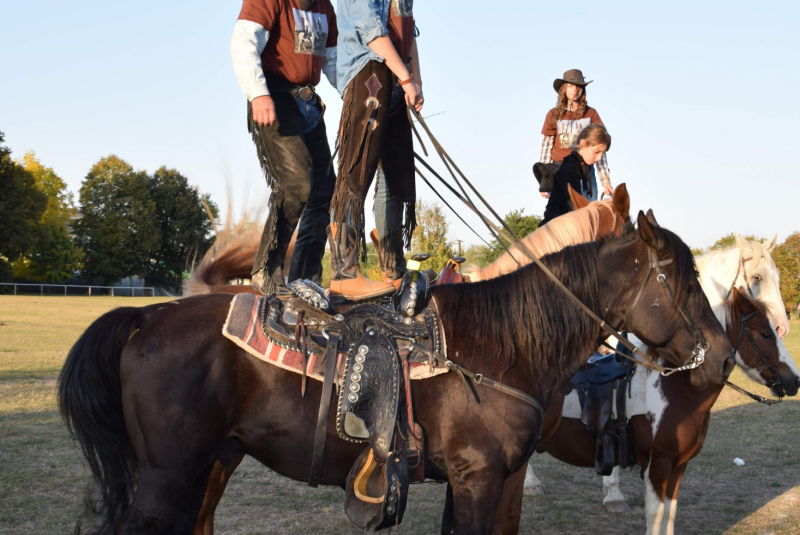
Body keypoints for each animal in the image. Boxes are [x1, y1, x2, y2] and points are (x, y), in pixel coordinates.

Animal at [57, 211, 736, 532]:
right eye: (680, 278)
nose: (723, 355)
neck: (501, 349)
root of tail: (148, 317)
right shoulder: (480, 480)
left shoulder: (478, 482)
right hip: (166, 477)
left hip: (212, 462)